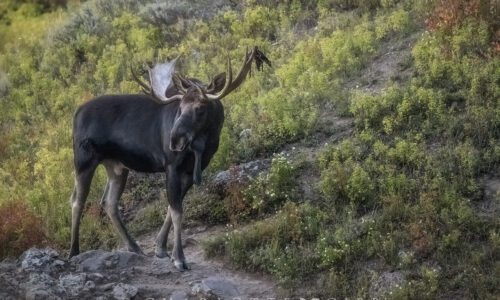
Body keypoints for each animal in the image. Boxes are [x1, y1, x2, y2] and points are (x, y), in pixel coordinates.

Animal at [68, 46, 270, 270]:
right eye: (179, 108)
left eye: (200, 108)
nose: (174, 140)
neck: (204, 143)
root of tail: (75, 114)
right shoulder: (171, 164)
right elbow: (176, 210)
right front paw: (179, 258)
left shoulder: (193, 169)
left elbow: (173, 206)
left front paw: (161, 248)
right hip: (84, 159)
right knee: (77, 200)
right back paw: (74, 251)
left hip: (117, 166)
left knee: (108, 202)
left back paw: (135, 247)